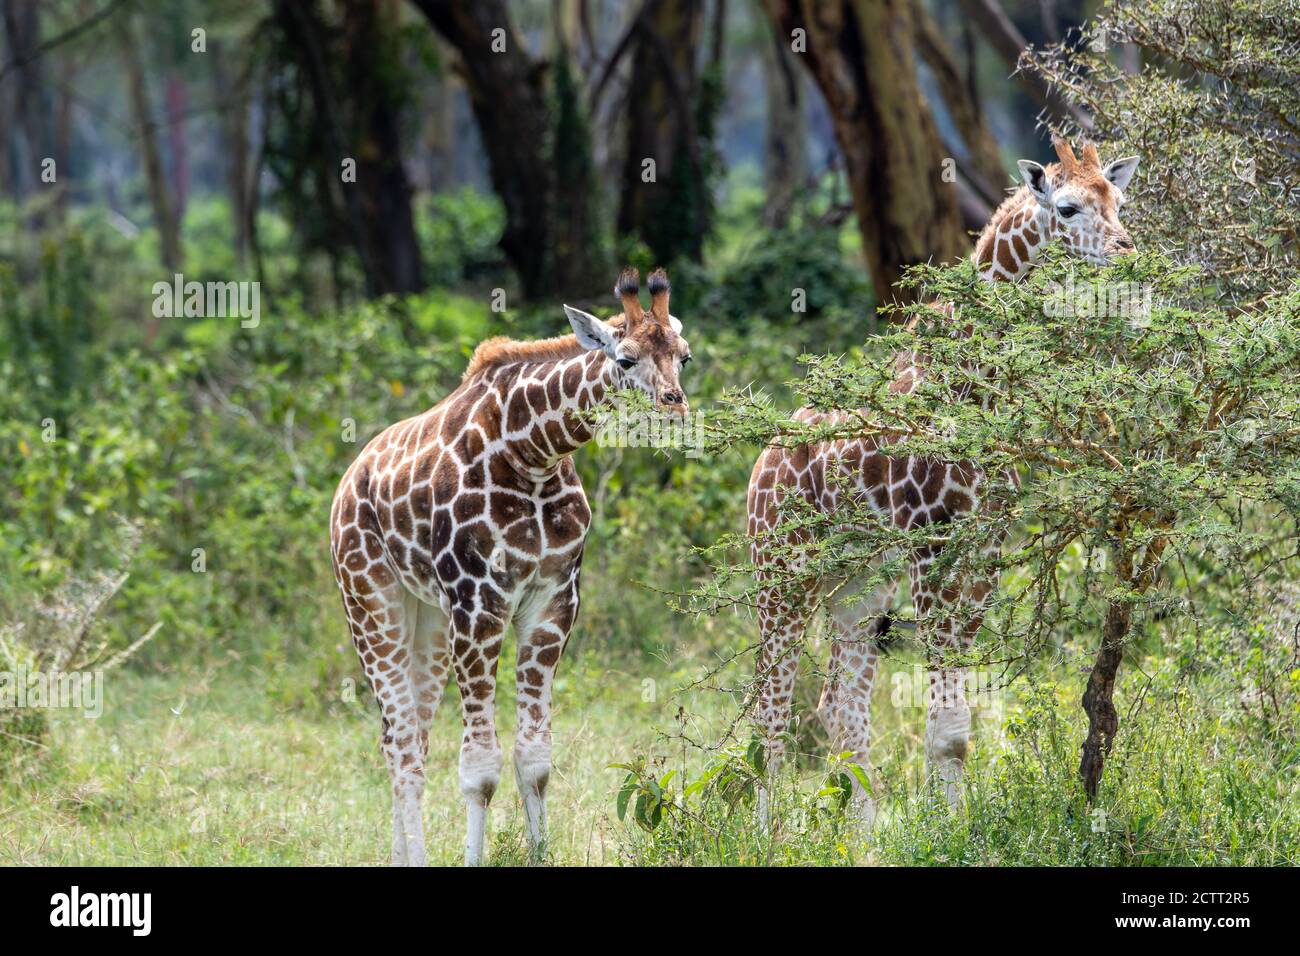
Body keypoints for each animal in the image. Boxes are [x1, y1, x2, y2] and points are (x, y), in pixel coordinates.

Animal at [330, 267, 692, 866]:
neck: (534, 455)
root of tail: (347, 479)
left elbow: (535, 759)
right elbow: (480, 768)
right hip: (371, 604)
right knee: (401, 744)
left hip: (429, 620)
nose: (676, 411)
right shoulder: (479, 604)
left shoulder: (553, 603)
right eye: (624, 360)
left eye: (684, 356)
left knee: (406, 739)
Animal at [747, 138, 1140, 825]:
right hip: (782, 570)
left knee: (837, 704)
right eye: (1066, 207)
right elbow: (943, 719)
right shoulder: (930, 542)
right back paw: (767, 834)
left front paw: (951, 825)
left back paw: (863, 832)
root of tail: (759, 466)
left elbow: (955, 723)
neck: (978, 386)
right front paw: (944, 827)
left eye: (1117, 201)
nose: (1124, 253)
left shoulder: (984, 546)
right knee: (772, 706)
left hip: (858, 586)